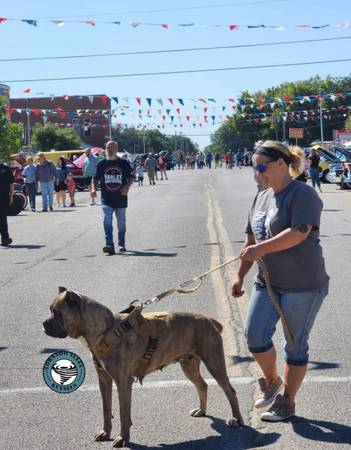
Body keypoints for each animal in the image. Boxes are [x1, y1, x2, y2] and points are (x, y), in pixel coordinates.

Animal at [42, 288, 243, 446]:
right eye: (51, 311)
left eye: (57, 313)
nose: (43, 323)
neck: (105, 330)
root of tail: (209, 320)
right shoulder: (104, 380)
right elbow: (106, 409)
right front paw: (105, 432)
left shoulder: (123, 381)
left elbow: (123, 412)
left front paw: (123, 438)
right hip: (189, 364)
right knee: (202, 385)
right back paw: (202, 410)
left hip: (214, 362)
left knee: (230, 390)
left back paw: (237, 420)